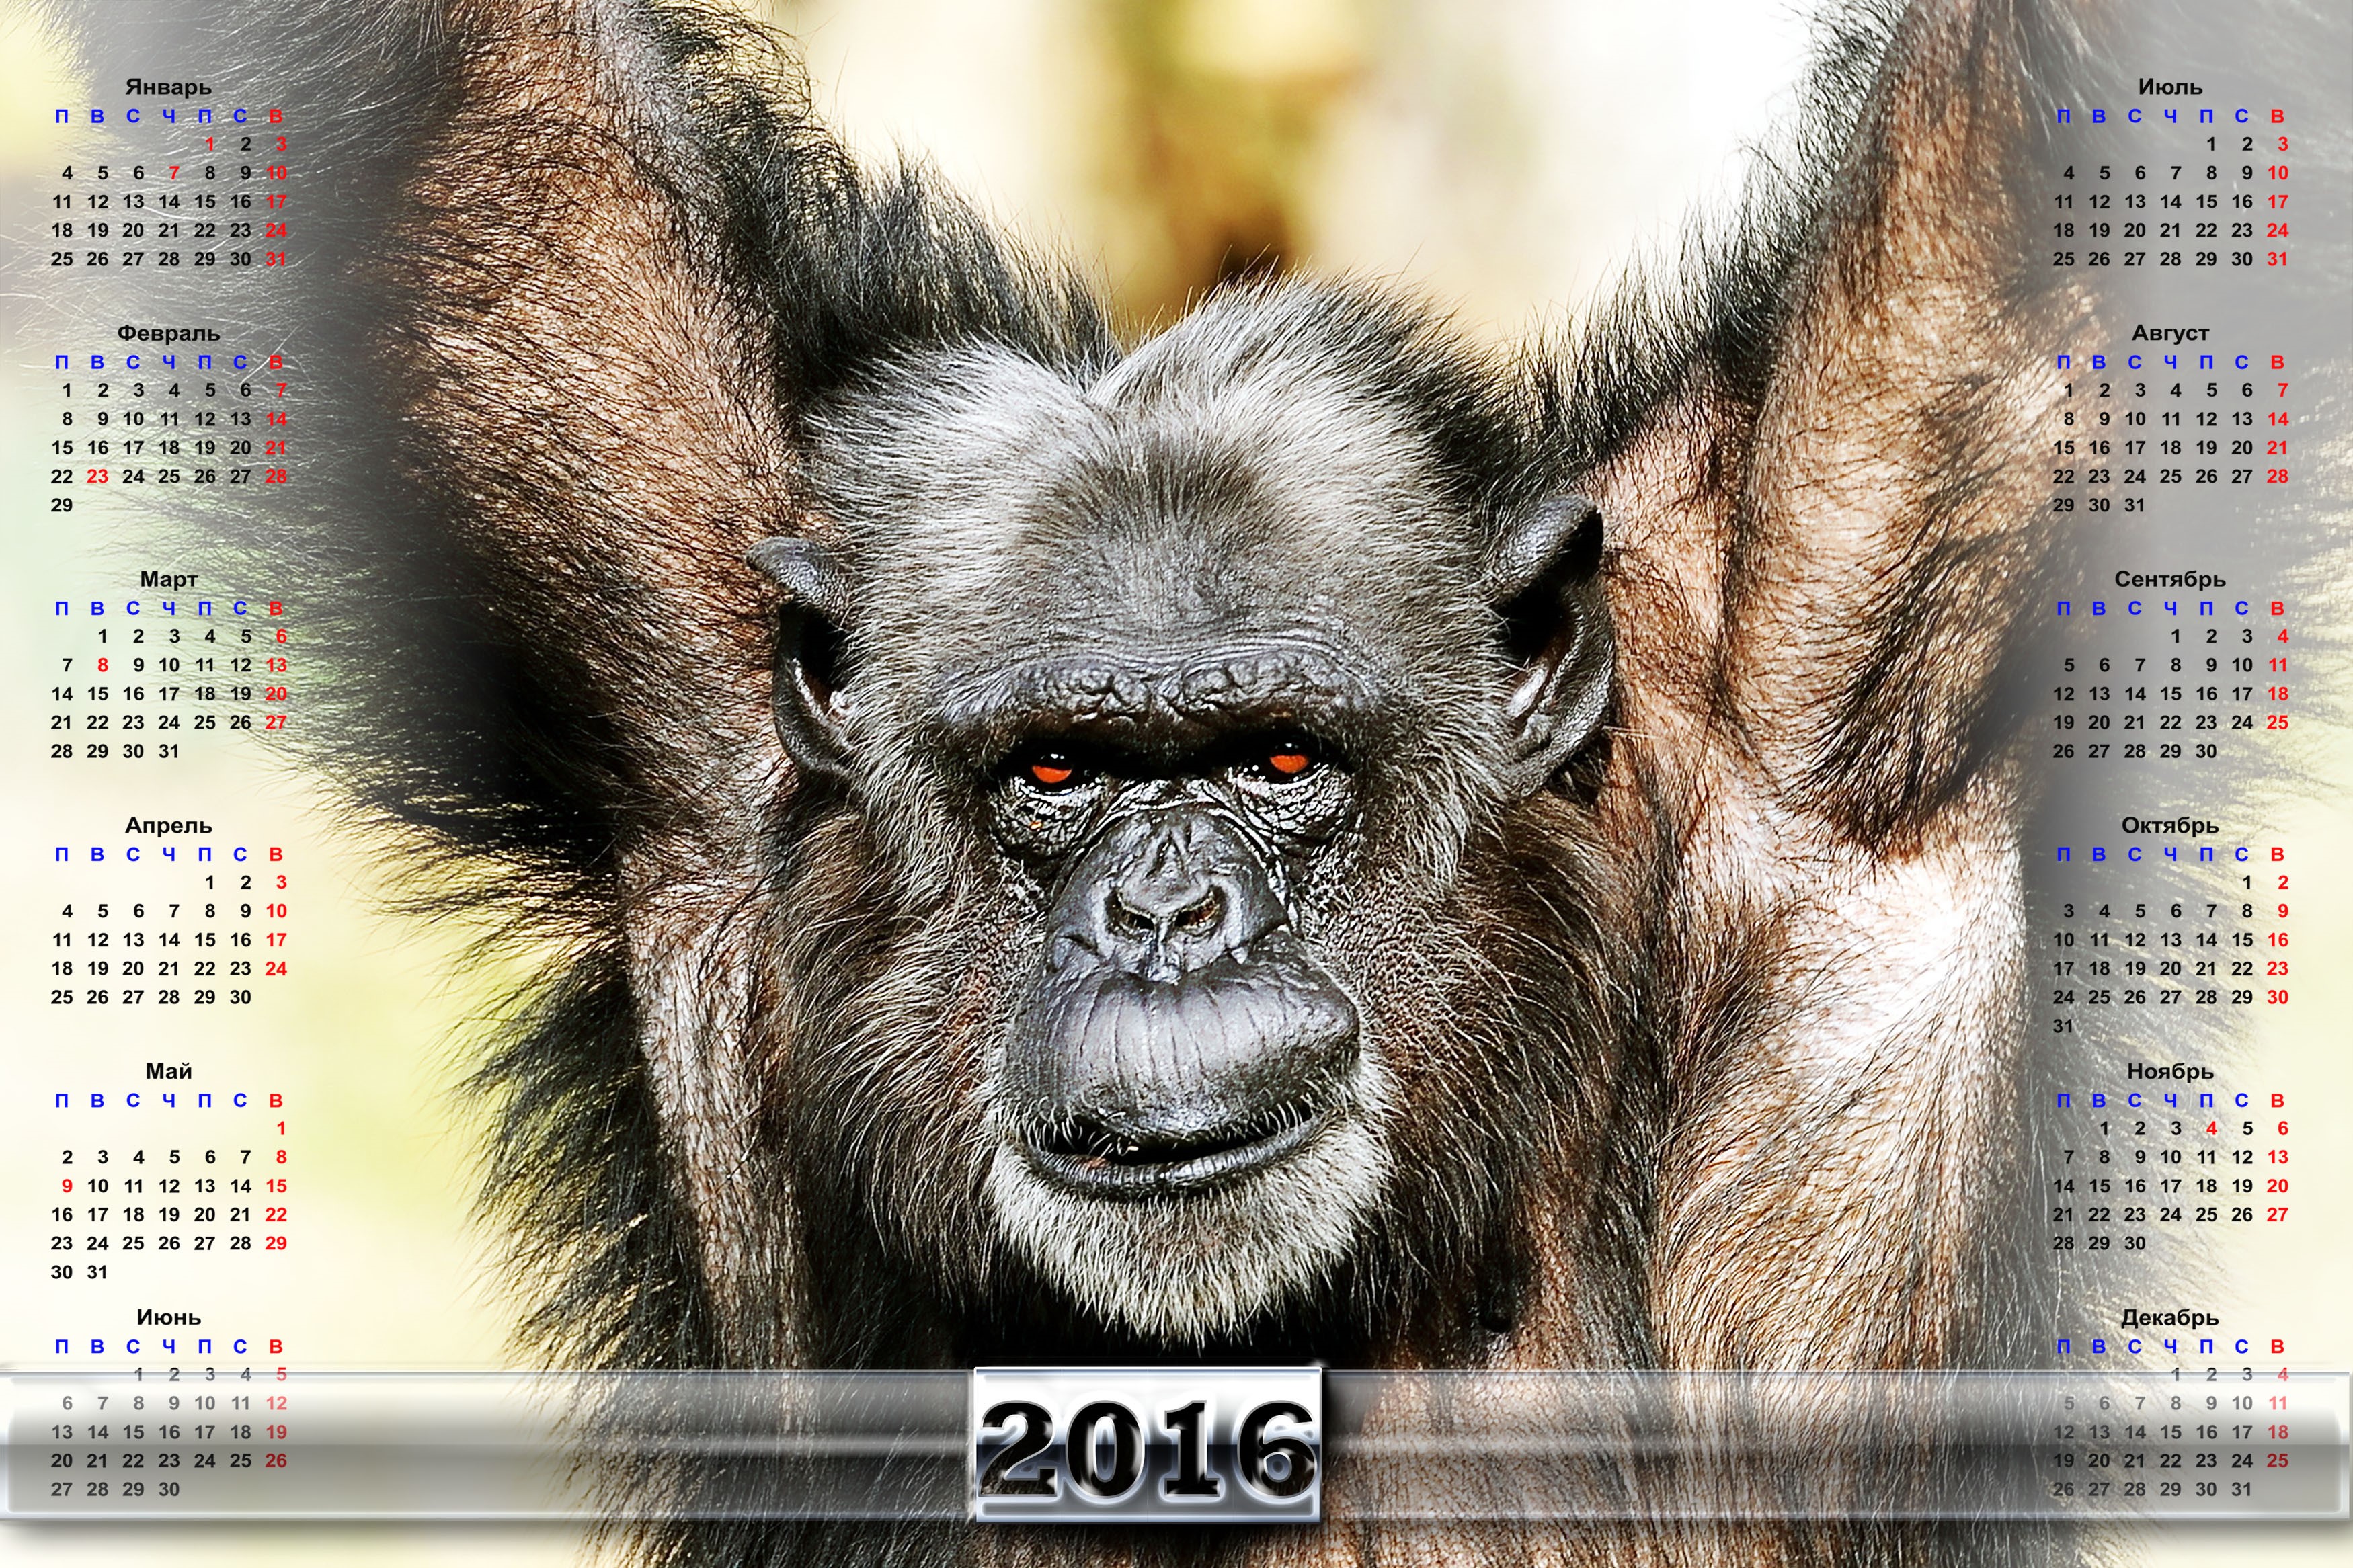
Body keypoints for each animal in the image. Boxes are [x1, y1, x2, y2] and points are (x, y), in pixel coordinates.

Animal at [35, 0, 2348, 1562]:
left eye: (1274, 755)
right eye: (1057, 765)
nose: (1162, 917)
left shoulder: (1846, 651)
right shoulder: (687, 660)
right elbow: (492, 161)